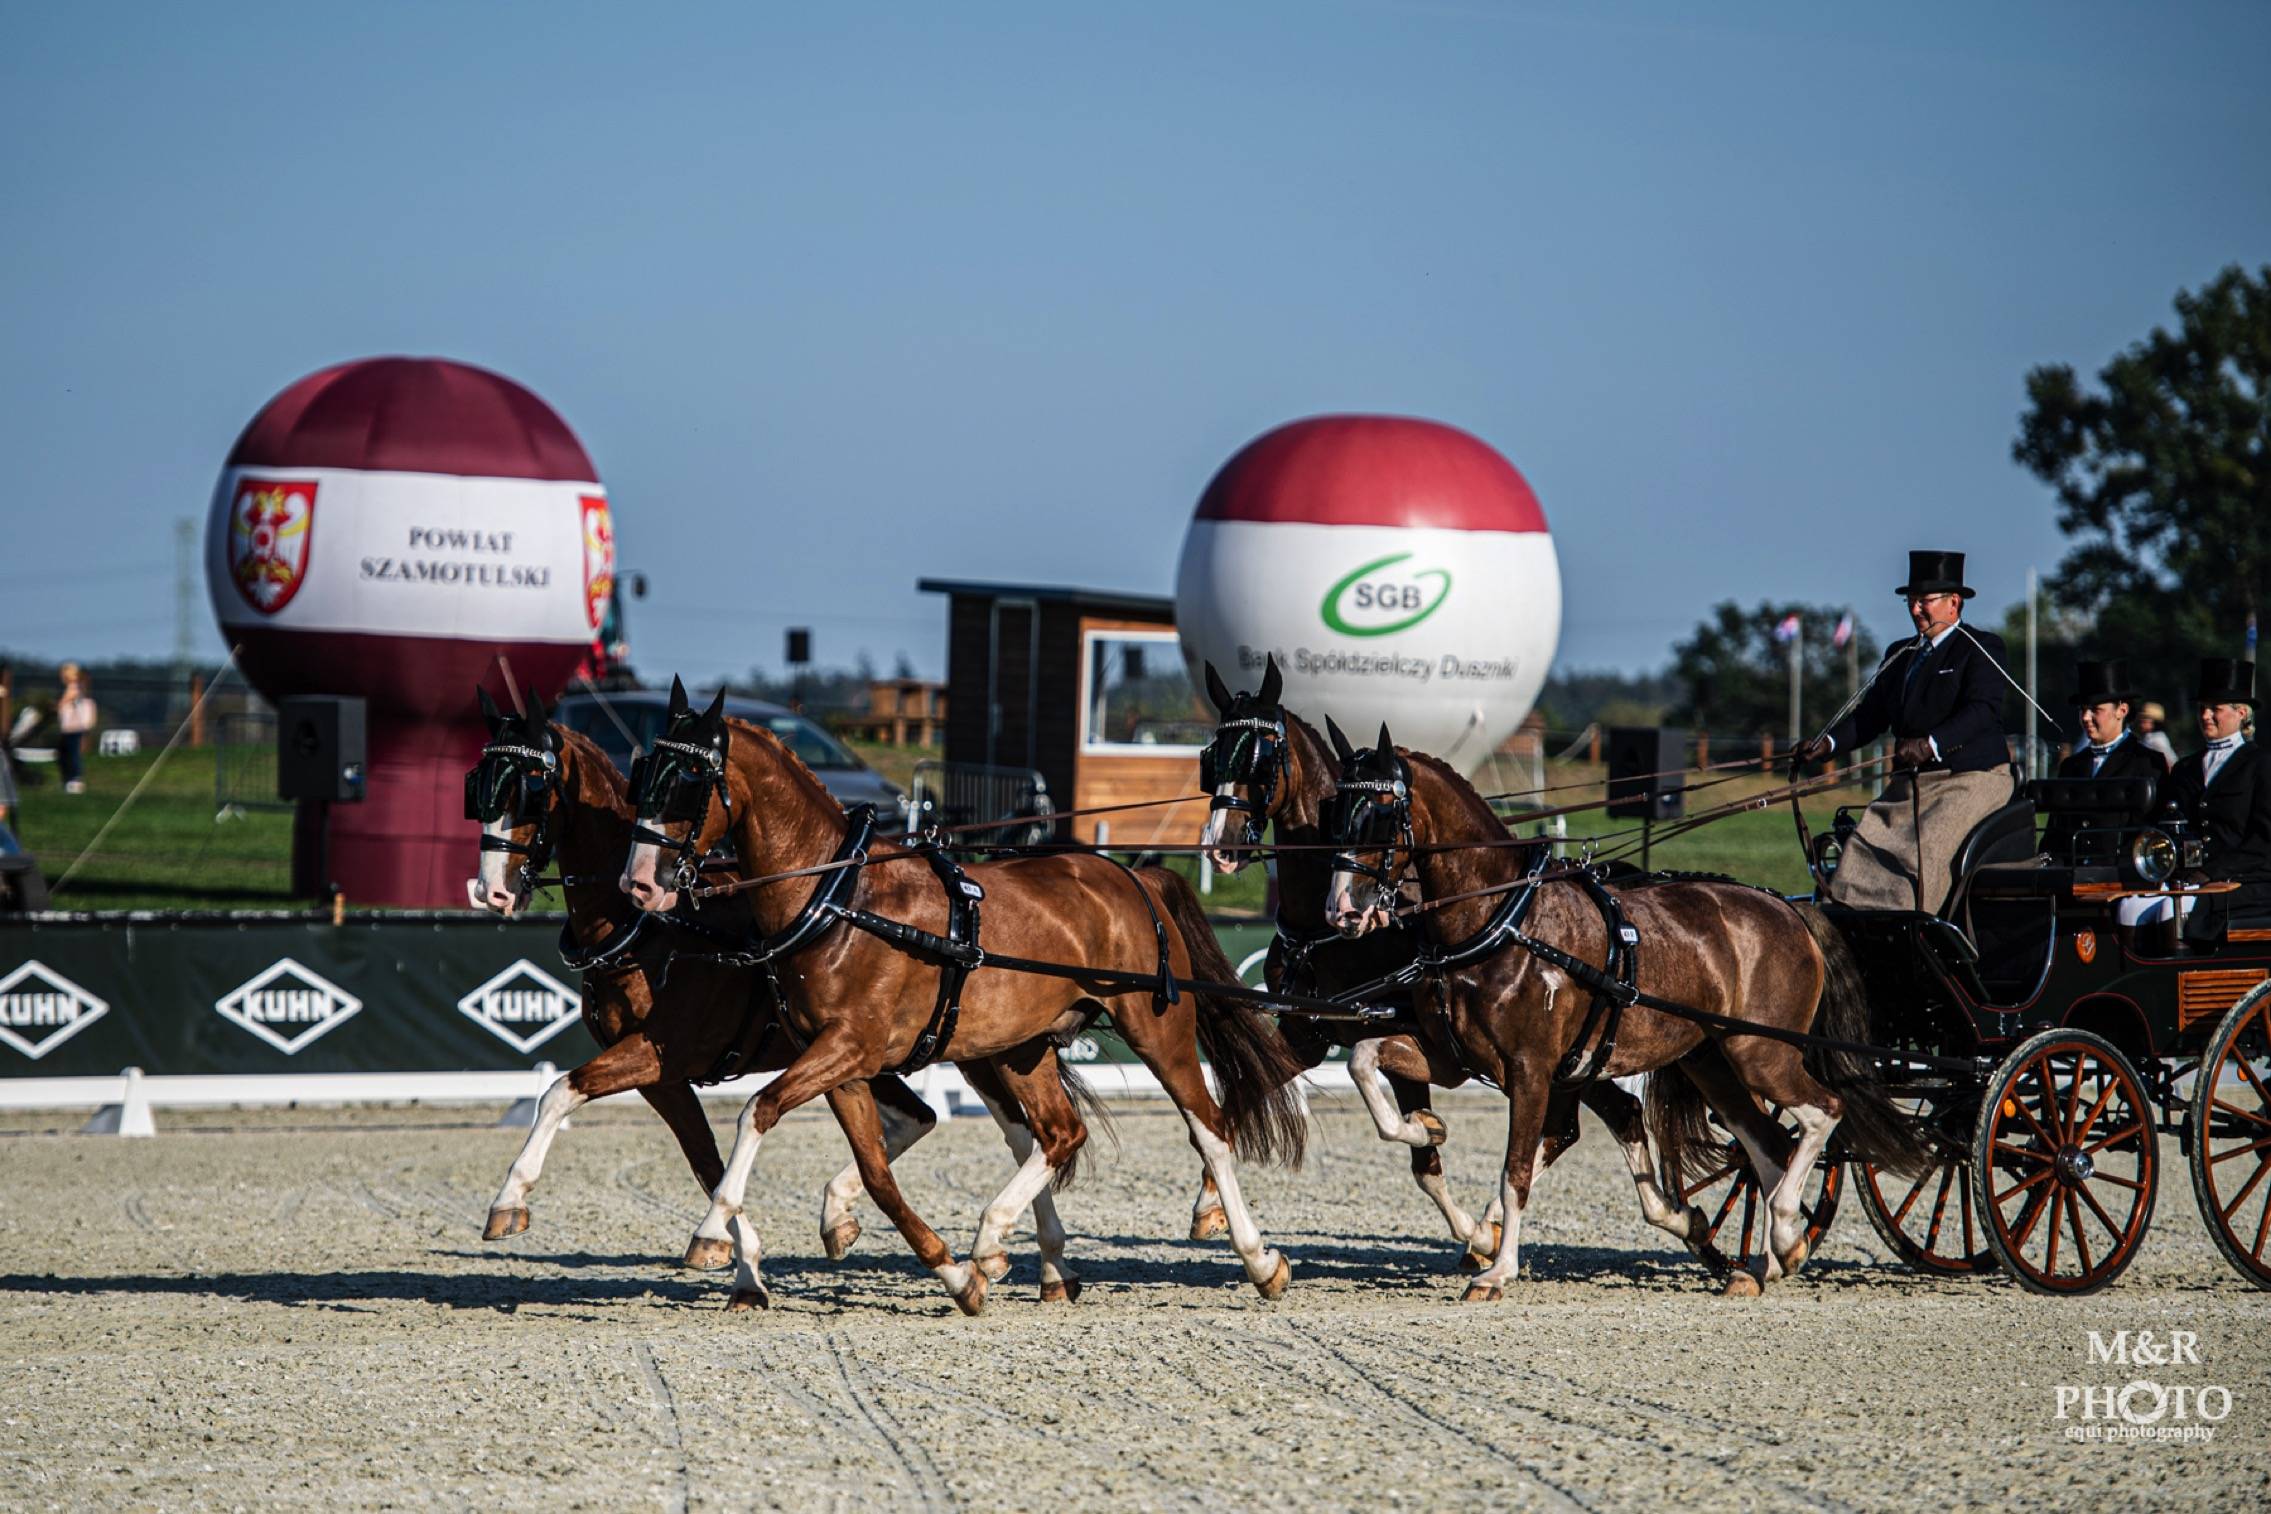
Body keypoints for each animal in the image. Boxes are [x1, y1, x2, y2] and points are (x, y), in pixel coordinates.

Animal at [465, 694, 1076, 1280]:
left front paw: (509, 1199)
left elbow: (559, 1091)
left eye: (529, 787)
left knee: (1026, 1135)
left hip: (973, 1050)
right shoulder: (666, 1078)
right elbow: (704, 1160)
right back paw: (1025, 1256)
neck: (650, 928)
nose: (491, 892)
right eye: (479, 787)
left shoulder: (660, 1054)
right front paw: (739, 1255)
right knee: (973, 1127)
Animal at [622, 685, 1308, 1316]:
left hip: (1157, 1030)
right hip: (1021, 1049)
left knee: (1209, 1132)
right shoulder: (837, 1059)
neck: (838, 897)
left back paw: (1255, 1259)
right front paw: (907, 1250)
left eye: (688, 781)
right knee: (1059, 1134)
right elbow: (872, 1167)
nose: (640, 884)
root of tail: (1134, 876)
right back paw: (1013, 1247)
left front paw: (711, 1230)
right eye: (642, 776)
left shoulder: (849, 1047)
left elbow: (756, 1111)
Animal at [1199, 658, 1662, 1271]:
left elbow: (1422, 1160)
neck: (1325, 933)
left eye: (1260, 755)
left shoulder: (1406, 1037)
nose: (1220, 846)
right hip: (1575, 1059)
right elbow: (1235, 1103)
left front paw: (1465, 1214)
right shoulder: (1309, 1034)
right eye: (1212, 757)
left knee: (1575, 1125)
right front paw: (1209, 1205)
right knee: (1597, 1120)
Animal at [1326, 726, 1925, 1298]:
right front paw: (1422, 1128)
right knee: (1767, 1145)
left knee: (1821, 1112)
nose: (1343, 910)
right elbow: (1362, 1059)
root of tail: (1789, 910)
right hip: (1712, 1062)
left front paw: (1498, 1272)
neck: (1501, 919)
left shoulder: (1530, 1070)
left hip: (1761, 1052)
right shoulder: (1455, 1059)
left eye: (1381, 811)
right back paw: (1768, 1260)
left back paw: (1780, 1230)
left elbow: (1515, 1171)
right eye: (1335, 807)